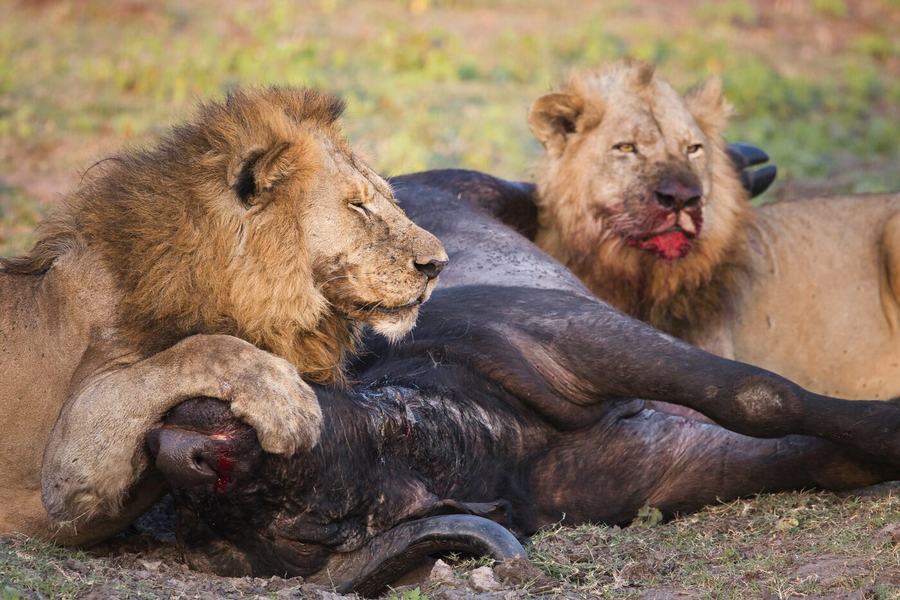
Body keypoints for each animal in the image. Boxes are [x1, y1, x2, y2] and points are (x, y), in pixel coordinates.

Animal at [0, 87, 448, 544]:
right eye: (358, 206)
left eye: (388, 199)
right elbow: (199, 348)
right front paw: (288, 405)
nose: (438, 265)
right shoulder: (66, 468)